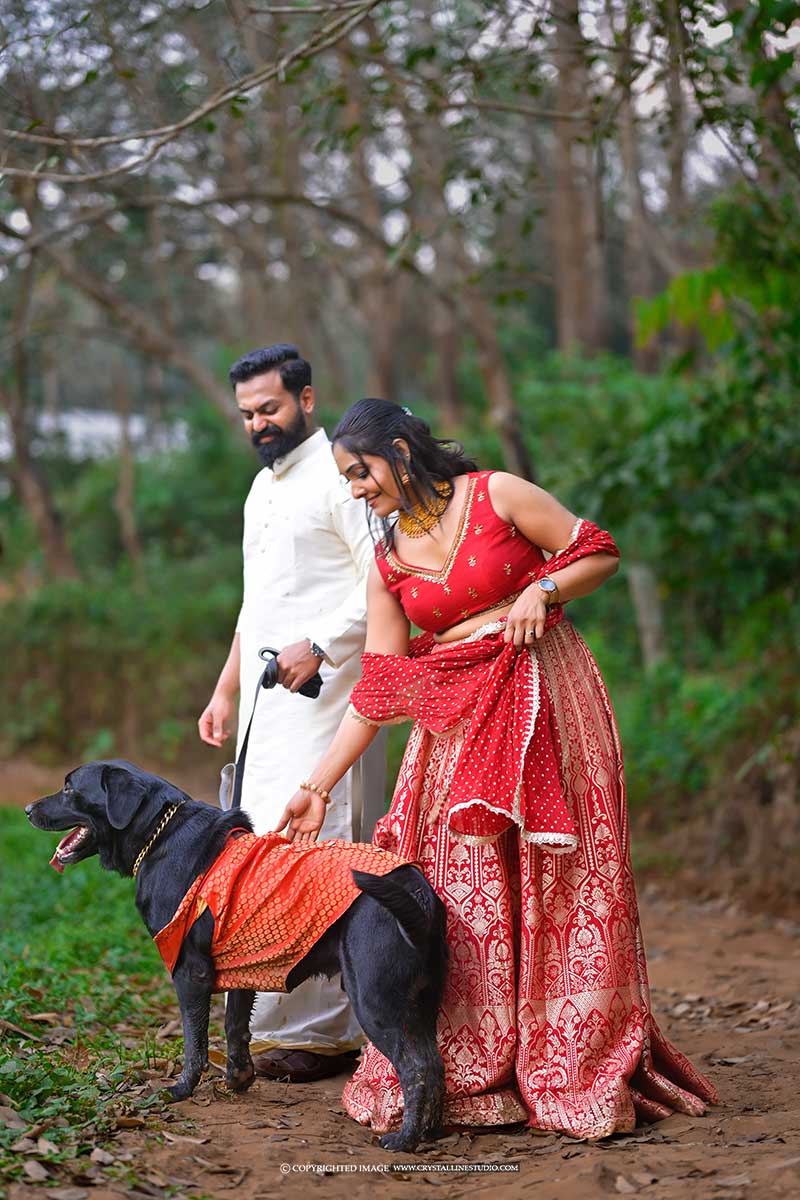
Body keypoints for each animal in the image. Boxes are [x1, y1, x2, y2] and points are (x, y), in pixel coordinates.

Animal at [25, 763, 448, 1147]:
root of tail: (418, 890)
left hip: (373, 997)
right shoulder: (242, 968)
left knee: (414, 1068)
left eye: (69, 789)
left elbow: (193, 1042)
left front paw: (182, 1089)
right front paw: (238, 1079)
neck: (159, 835)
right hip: (423, 1002)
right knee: (435, 1064)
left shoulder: (189, 972)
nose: (28, 808)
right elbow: (235, 1028)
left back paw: (405, 1140)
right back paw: (432, 1132)